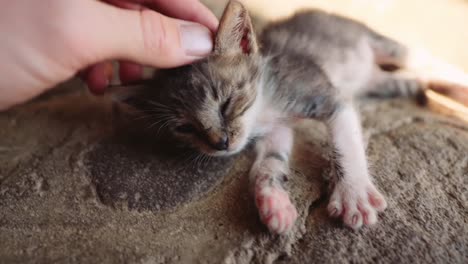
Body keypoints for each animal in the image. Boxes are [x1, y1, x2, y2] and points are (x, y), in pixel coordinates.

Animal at [113, 1, 424, 233]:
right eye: (185, 127)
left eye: (226, 103)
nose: (221, 143)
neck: (263, 107)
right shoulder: (277, 131)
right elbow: (267, 165)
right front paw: (273, 203)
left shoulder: (328, 98)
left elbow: (344, 144)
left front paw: (353, 193)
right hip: (381, 82)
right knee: (405, 81)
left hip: (377, 43)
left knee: (413, 54)